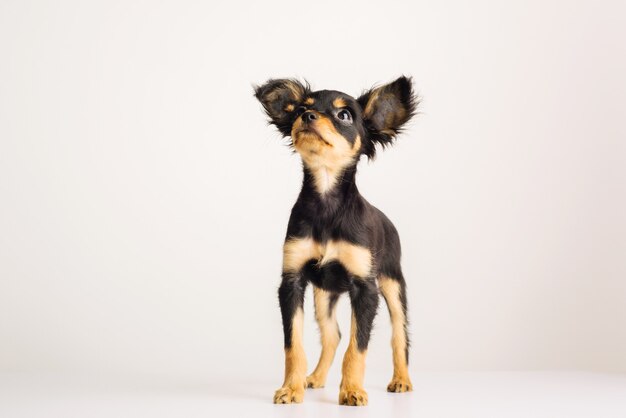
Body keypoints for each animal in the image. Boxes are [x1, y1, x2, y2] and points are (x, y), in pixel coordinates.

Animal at [251, 77, 416, 404]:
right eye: (300, 109)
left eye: (344, 116)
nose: (307, 117)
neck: (326, 203)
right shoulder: (292, 282)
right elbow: (293, 345)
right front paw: (291, 388)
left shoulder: (365, 288)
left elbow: (357, 347)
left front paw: (352, 391)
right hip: (324, 295)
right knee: (332, 335)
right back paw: (314, 378)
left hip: (393, 285)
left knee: (399, 335)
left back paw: (401, 380)